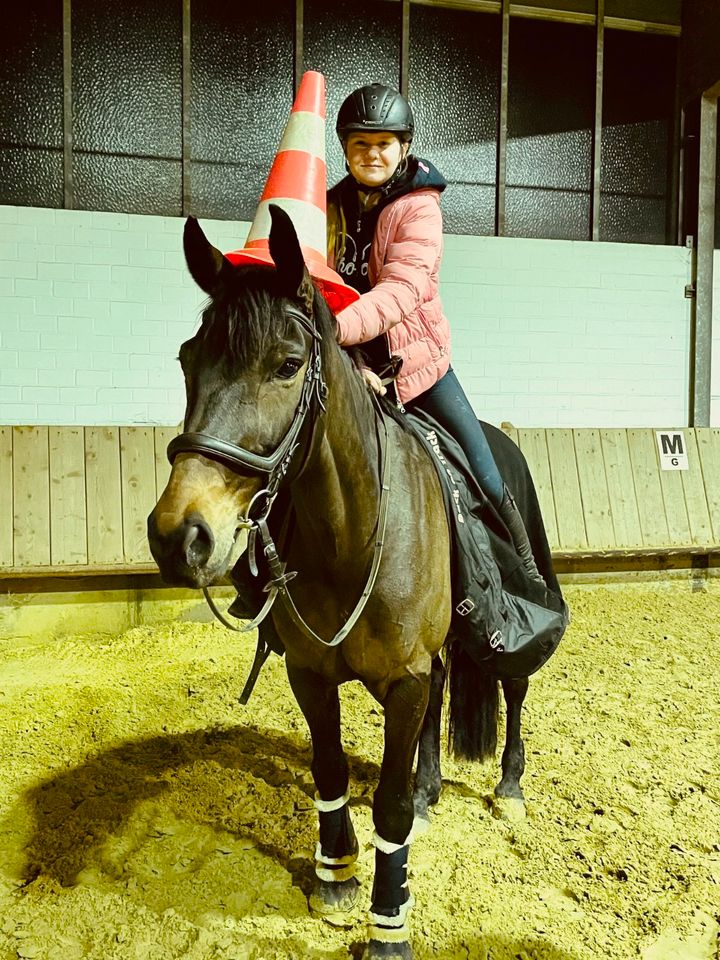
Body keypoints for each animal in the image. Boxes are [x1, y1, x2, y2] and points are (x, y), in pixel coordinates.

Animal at [148, 204, 564, 960]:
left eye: (288, 365)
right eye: (188, 359)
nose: (178, 534)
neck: (350, 533)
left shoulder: (404, 677)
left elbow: (389, 805)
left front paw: (389, 921)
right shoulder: (312, 673)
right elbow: (332, 769)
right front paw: (335, 877)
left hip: (507, 629)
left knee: (515, 688)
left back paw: (510, 787)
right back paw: (432, 790)